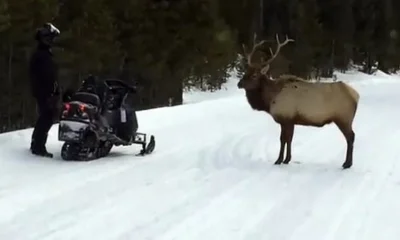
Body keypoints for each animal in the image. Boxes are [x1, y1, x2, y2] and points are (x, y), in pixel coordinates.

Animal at [238, 33, 360, 169]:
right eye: (245, 72)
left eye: (254, 75)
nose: (239, 84)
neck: (270, 100)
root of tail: (356, 95)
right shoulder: (290, 121)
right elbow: (288, 139)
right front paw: (286, 159)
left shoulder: (286, 118)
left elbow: (284, 139)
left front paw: (279, 160)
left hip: (343, 118)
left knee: (351, 137)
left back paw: (347, 163)